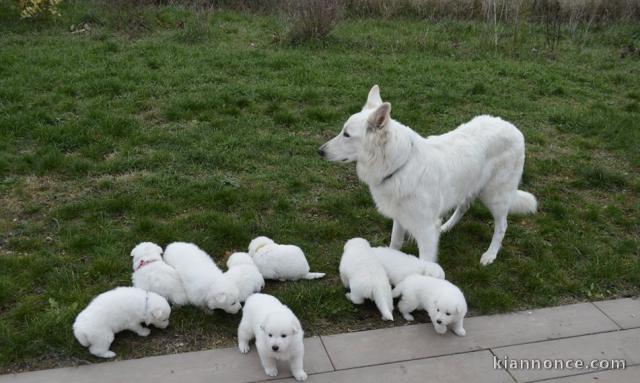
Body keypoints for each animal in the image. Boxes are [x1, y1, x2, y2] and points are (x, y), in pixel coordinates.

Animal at [318, 84, 536, 266]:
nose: (319, 151)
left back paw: (490, 254)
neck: (400, 165)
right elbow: (395, 244)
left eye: (346, 134)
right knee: (464, 206)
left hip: (495, 197)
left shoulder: (425, 233)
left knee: (502, 226)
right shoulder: (400, 218)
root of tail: (515, 129)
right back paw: (446, 227)